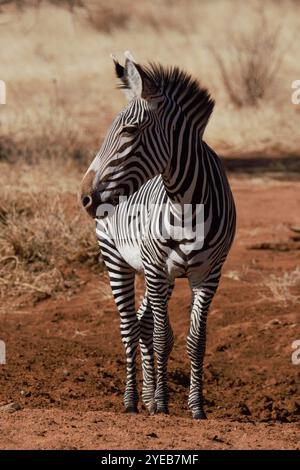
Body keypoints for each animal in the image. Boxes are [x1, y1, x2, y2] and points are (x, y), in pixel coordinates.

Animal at [81, 52, 237, 418]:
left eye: (129, 131)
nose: (85, 198)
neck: (186, 204)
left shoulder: (208, 275)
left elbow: (195, 340)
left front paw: (196, 408)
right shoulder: (155, 267)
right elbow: (163, 336)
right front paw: (164, 404)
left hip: (161, 277)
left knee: (142, 325)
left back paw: (149, 396)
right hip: (118, 260)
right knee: (130, 328)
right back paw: (133, 401)